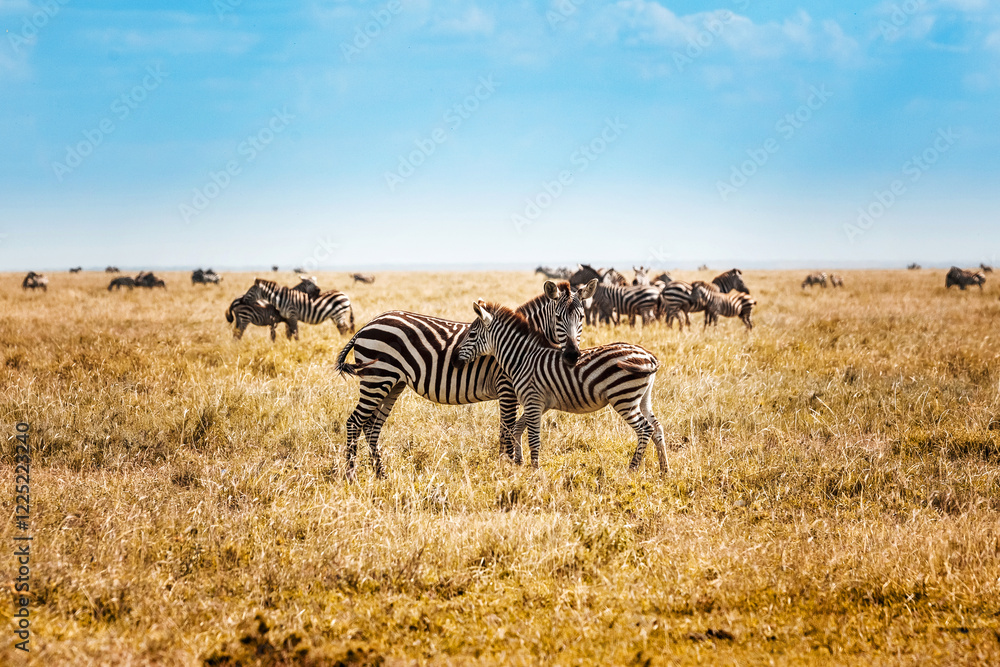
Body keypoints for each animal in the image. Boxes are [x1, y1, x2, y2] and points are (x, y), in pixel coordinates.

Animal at [335, 279, 598, 478]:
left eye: (582, 317)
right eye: (558, 318)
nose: (573, 355)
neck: (520, 344)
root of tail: (368, 324)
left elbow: (508, 429)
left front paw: (506, 468)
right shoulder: (507, 388)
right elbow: (506, 430)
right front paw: (505, 470)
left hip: (392, 383)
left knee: (372, 426)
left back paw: (381, 474)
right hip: (377, 379)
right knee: (354, 422)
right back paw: (351, 476)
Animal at [455, 300, 668, 472]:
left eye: (472, 334)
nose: (456, 362)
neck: (522, 358)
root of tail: (648, 355)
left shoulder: (533, 401)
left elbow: (533, 438)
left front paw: (535, 471)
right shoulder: (539, 403)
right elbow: (517, 428)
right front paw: (518, 462)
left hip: (623, 397)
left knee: (645, 429)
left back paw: (632, 469)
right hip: (641, 398)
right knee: (657, 428)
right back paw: (664, 470)